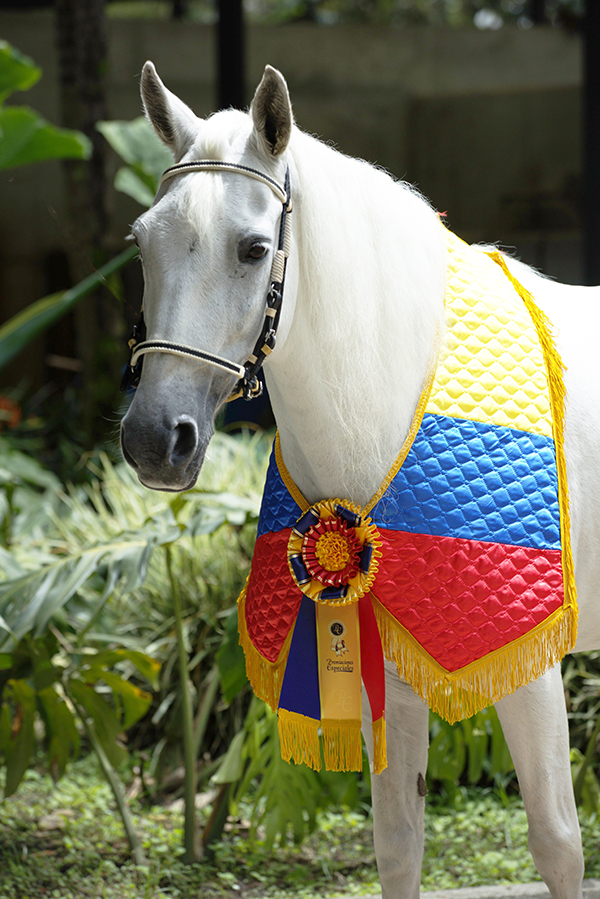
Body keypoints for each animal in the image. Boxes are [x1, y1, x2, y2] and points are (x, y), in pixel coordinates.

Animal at [120, 62, 600, 899]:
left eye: (253, 248)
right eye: (142, 243)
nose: (155, 439)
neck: (397, 386)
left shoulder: (525, 659)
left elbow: (558, 845)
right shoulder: (390, 658)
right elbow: (399, 844)